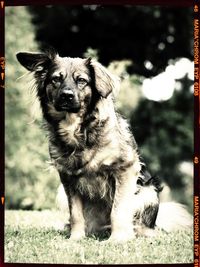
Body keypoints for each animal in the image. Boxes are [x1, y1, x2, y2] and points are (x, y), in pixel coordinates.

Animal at [16, 49, 192, 243]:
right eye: (56, 79)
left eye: (82, 80)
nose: (66, 95)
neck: (78, 131)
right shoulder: (67, 178)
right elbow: (76, 214)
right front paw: (75, 239)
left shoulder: (126, 169)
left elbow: (118, 209)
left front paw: (118, 239)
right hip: (62, 193)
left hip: (147, 191)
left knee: (144, 227)